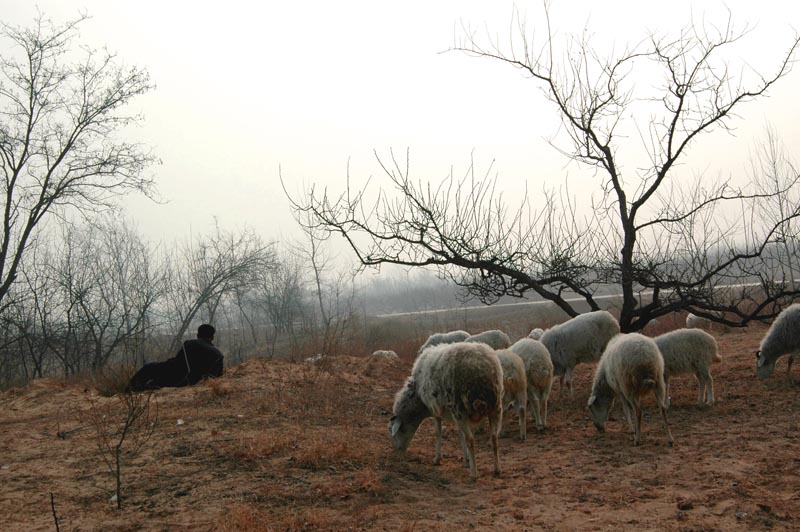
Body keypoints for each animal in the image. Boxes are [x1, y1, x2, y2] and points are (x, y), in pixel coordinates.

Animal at [388, 342, 500, 480]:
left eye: (395, 431)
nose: (397, 453)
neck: (417, 399)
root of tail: (480, 367)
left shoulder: (436, 409)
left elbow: (438, 433)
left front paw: (437, 459)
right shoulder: (453, 415)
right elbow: (460, 435)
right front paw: (466, 461)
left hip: (460, 407)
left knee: (470, 439)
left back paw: (474, 474)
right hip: (495, 407)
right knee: (494, 437)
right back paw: (497, 469)